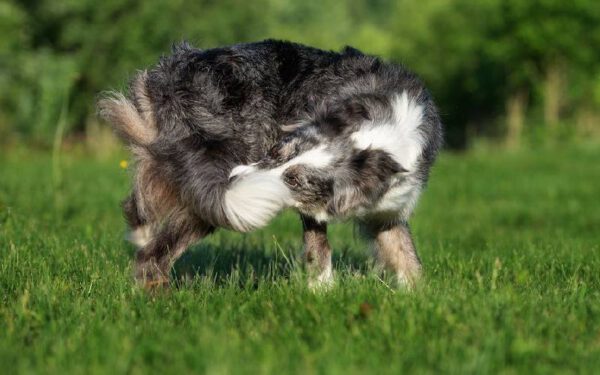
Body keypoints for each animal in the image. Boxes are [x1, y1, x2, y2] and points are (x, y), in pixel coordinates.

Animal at [98, 40, 442, 288]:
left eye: (295, 179)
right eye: (277, 152)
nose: (237, 175)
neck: (383, 137)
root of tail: (171, 73)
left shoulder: (388, 211)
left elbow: (406, 255)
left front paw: (418, 299)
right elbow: (319, 249)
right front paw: (322, 293)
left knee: (139, 205)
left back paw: (141, 233)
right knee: (154, 256)